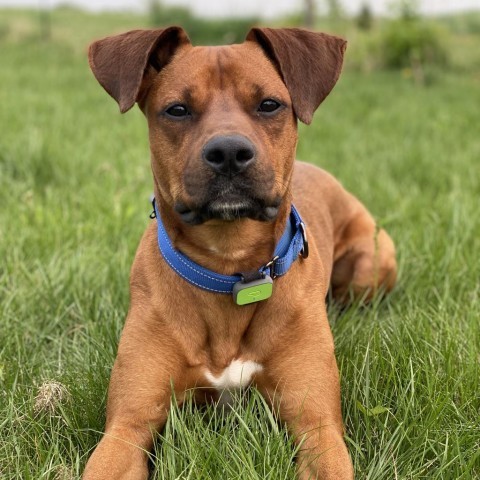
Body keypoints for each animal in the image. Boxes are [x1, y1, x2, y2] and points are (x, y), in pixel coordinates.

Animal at [83, 27, 398, 480]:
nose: (229, 152)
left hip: (371, 265)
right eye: (177, 109)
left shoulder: (316, 424)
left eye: (269, 104)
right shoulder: (128, 425)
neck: (230, 266)